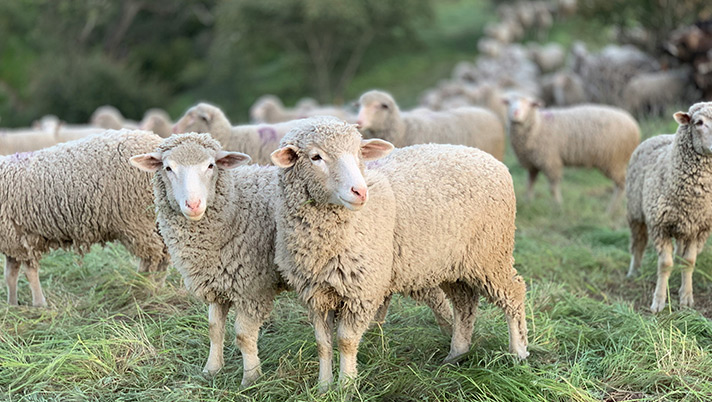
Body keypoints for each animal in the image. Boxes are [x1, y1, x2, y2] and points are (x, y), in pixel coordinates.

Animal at [1, 129, 169, 307]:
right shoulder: (12, 240)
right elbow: (10, 275)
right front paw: (12, 305)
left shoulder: (21, 238)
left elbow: (29, 273)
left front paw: (39, 304)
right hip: (155, 219)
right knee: (164, 254)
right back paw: (156, 288)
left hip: (137, 220)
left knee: (152, 256)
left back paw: (141, 290)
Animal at [129, 132, 454, 387]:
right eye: (168, 168)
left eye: (210, 166)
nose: (193, 204)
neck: (234, 207)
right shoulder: (217, 282)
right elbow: (214, 329)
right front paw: (211, 370)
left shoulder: (253, 287)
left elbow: (243, 335)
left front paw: (251, 378)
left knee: (438, 299)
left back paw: (451, 339)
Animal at [271, 116, 528, 389]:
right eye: (316, 157)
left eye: (359, 153)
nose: (360, 192)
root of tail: (490, 159)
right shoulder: (315, 293)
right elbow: (323, 343)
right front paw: (323, 387)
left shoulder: (362, 290)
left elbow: (346, 341)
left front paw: (346, 386)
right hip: (453, 262)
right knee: (464, 304)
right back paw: (456, 354)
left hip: (491, 254)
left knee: (513, 293)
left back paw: (518, 353)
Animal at [504, 94, 640, 211]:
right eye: (509, 103)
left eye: (529, 104)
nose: (515, 113)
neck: (538, 125)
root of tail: (634, 125)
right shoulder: (532, 164)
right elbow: (529, 184)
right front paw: (528, 202)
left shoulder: (550, 160)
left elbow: (553, 187)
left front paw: (558, 205)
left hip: (614, 160)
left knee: (621, 184)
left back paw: (610, 210)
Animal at [626, 102, 712, 312]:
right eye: (699, 122)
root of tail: (659, 135)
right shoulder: (660, 226)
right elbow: (664, 264)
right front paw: (658, 302)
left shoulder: (698, 228)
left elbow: (688, 262)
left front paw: (686, 298)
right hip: (635, 212)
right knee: (638, 243)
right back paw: (634, 271)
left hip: (684, 227)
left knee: (679, 253)